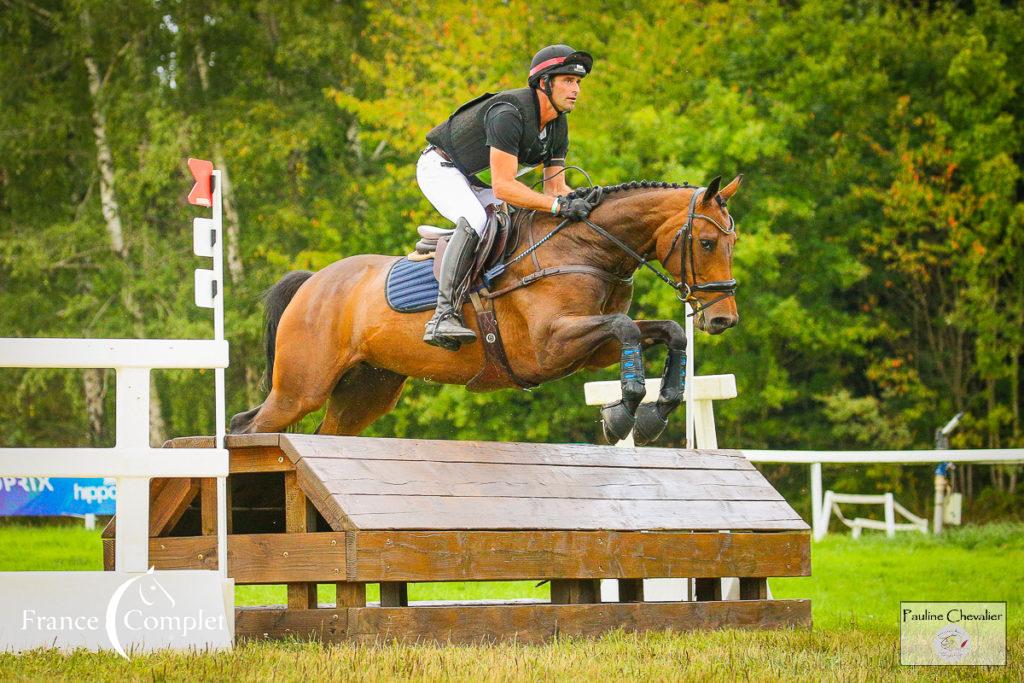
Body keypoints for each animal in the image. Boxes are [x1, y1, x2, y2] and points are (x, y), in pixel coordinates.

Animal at [230, 174, 745, 446]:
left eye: (733, 241)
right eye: (706, 242)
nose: (723, 319)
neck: (586, 249)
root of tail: (312, 282)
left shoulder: (589, 350)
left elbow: (664, 332)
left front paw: (653, 412)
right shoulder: (550, 346)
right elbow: (627, 328)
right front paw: (622, 415)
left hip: (366, 390)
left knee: (323, 433)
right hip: (302, 388)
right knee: (247, 426)